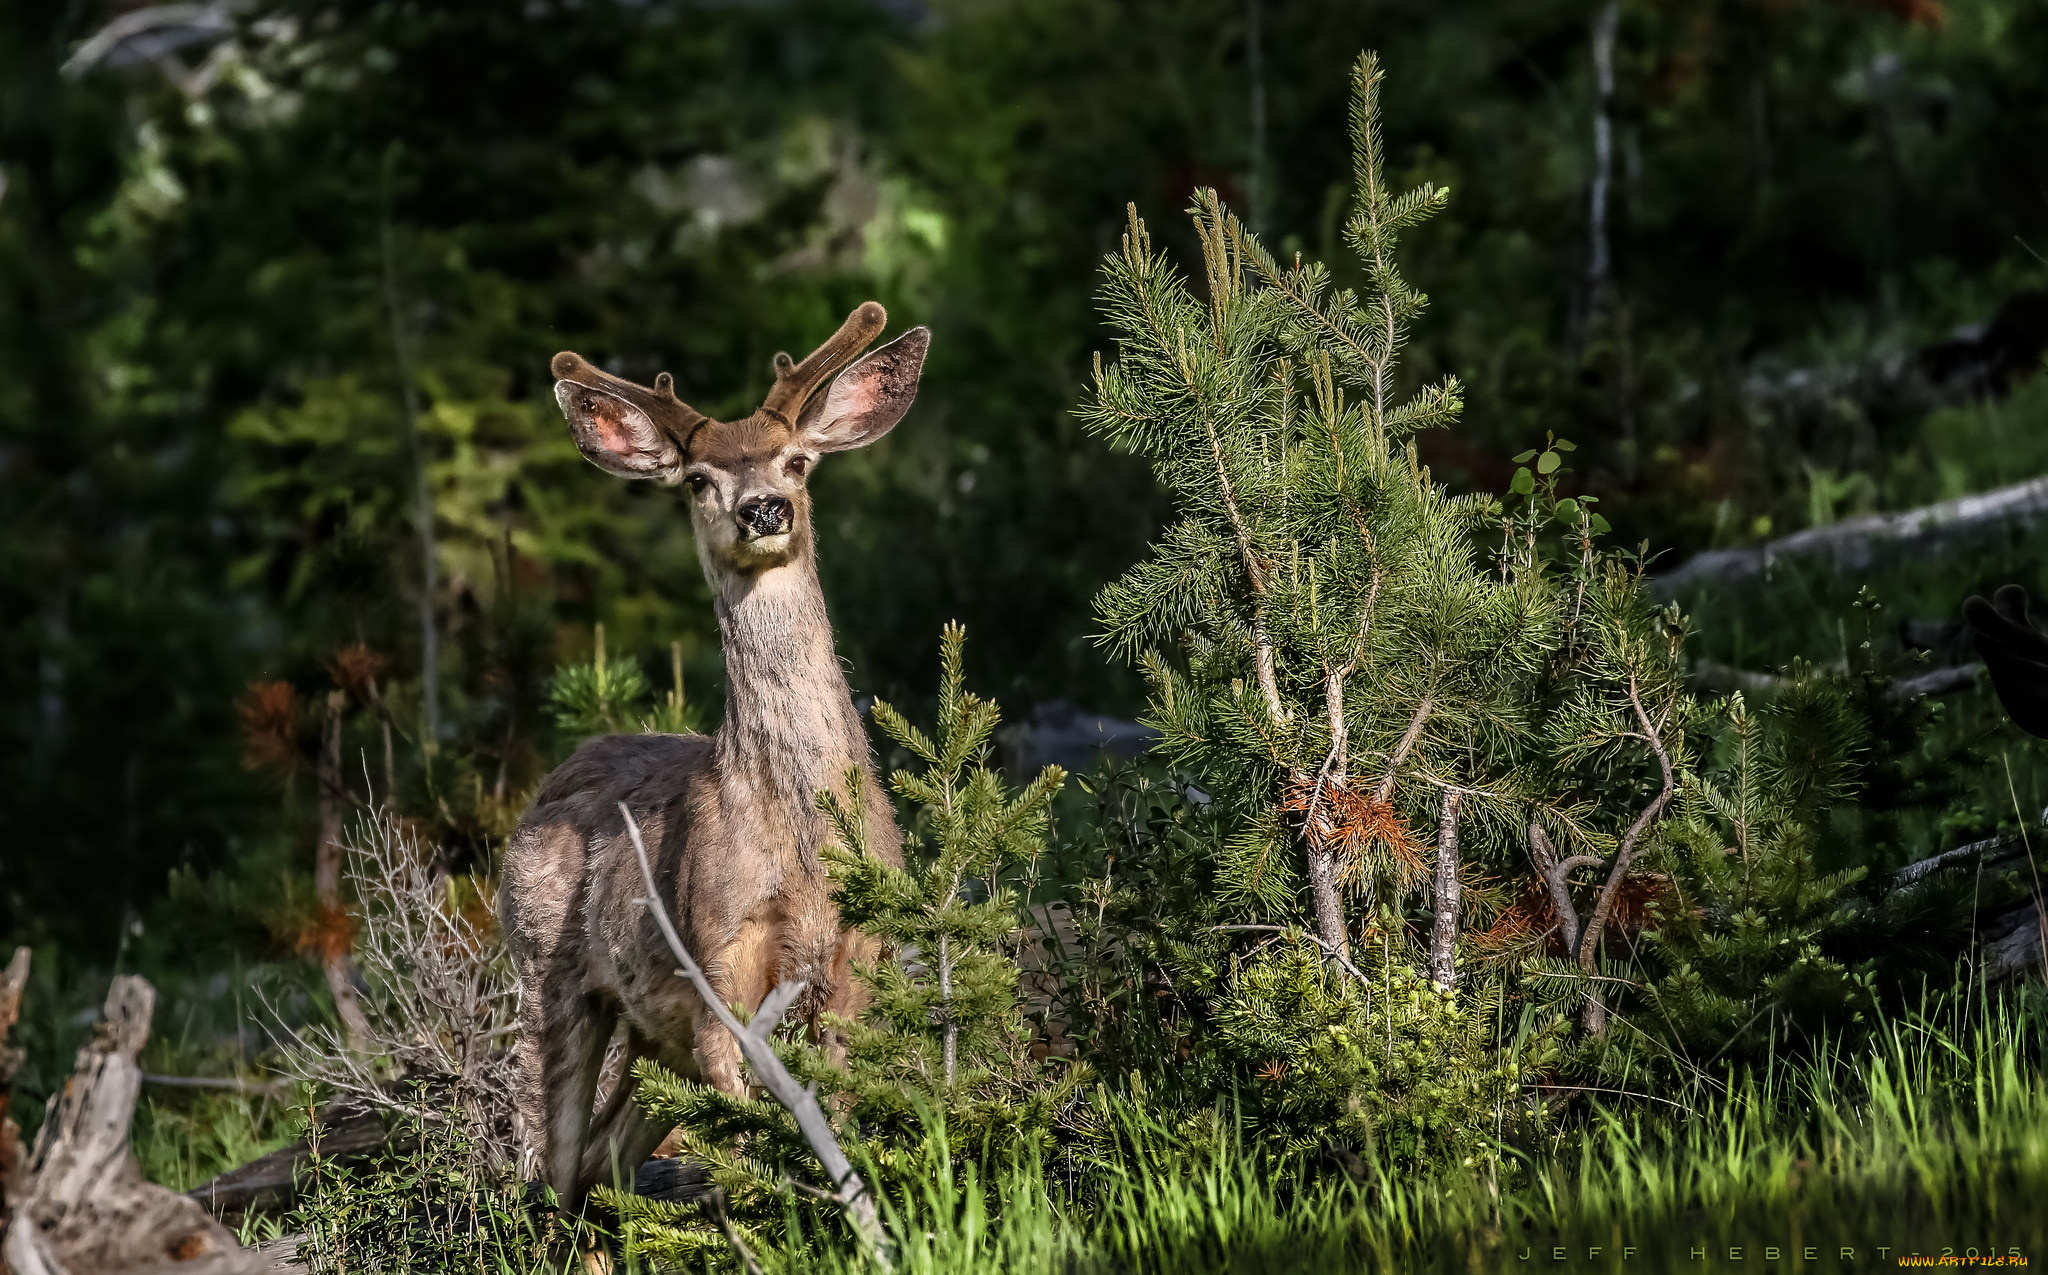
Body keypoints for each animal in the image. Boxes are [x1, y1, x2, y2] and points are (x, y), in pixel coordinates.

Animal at [507, 300, 925, 1203]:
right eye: (699, 479)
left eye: (798, 460)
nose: (764, 509)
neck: (803, 841)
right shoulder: (716, 960)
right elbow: (751, 1136)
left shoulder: (859, 957)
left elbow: (834, 1114)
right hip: (545, 967)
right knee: (545, 1159)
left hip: (646, 1037)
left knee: (599, 1155)